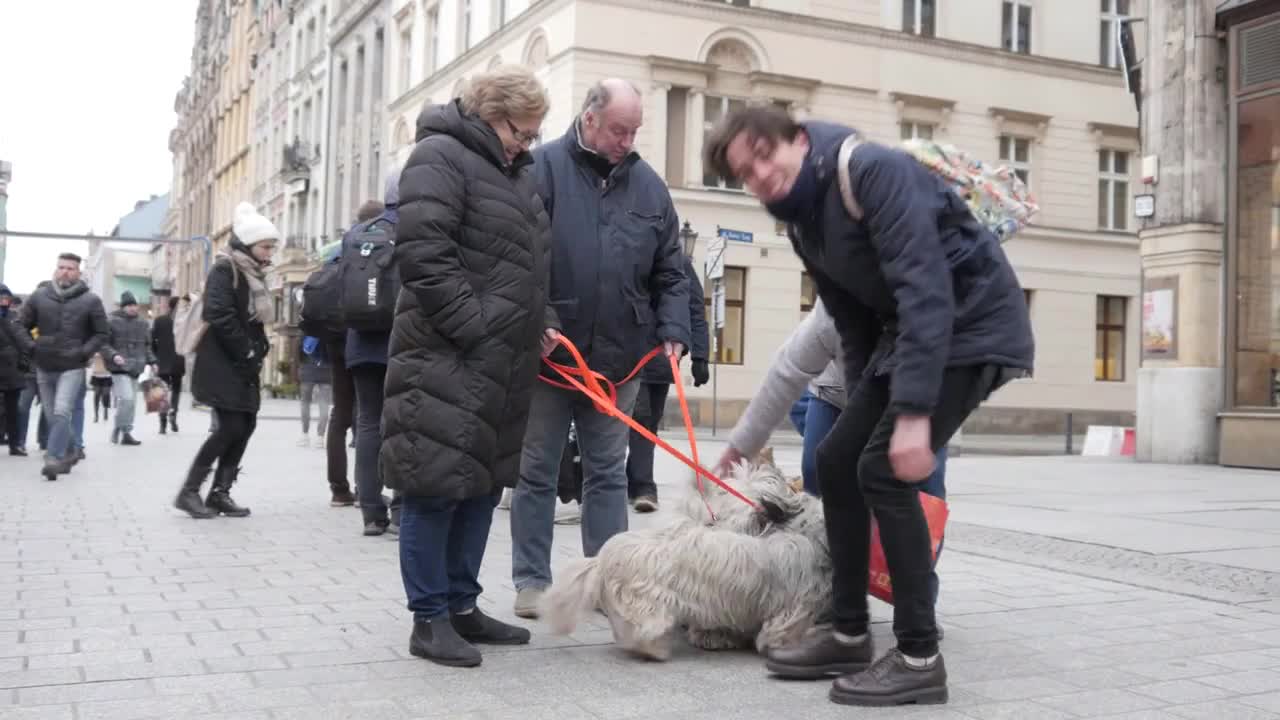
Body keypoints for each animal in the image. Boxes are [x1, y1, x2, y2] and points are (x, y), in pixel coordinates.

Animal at [537, 461, 829, 661]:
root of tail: (601, 559)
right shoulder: (795, 605)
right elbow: (782, 630)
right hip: (646, 606)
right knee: (641, 630)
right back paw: (655, 649)